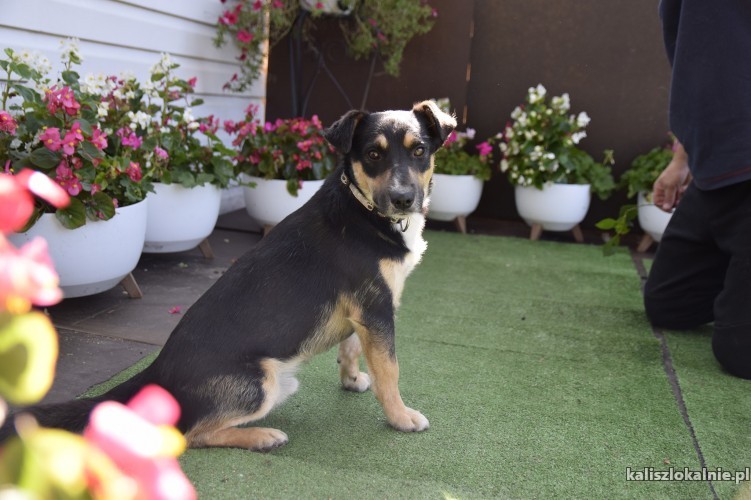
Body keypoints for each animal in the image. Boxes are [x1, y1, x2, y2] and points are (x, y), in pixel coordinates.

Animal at [0, 100, 456, 451]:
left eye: (419, 150)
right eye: (374, 155)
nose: (403, 199)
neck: (365, 209)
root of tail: (157, 371)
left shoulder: (365, 311)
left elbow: (352, 350)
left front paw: (352, 380)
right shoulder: (377, 309)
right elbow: (390, 371)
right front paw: (400, 417)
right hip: (264, 381)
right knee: (190, 434)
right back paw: (262, 437)